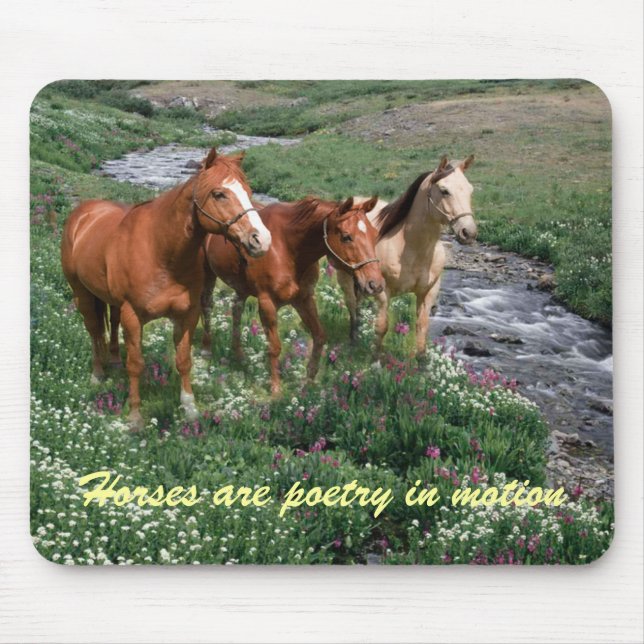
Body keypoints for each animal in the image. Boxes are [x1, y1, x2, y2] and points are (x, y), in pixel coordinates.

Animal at [60, 147, 272, 430]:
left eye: (248, 191)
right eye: (219, 194)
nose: (261, 240)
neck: (161, 251)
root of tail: (82, 214)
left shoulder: (187, 314)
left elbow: (184, 361)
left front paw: (190, 408)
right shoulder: (133, 316)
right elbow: (136, 364)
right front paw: (135, 416)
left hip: (111, 301)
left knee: (111, 325)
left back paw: (113, 362)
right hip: (81, 293)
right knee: (94, 330)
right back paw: (98, 373)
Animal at [200, 196, 385, 396]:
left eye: (374, 234)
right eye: (346, 236)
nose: (375, 284)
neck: (286, 247)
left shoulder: (304, 299)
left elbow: (319, 337)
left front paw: (309, 381)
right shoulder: (267, 304)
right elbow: (274, 347)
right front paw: (276, 389)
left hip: (241, 288)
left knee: (236, 310)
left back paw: (239, 355)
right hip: (208, 275)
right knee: (207, 306)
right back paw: (206, 350)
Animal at [336, 155, 477, 358]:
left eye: (470, 189)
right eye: (444, 191)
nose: (469, 232)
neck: (411, 248)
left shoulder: (429, 292)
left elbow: (422, 328)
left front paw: (421, 362)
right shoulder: (383, 291)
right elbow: (382, 326)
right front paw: (375, 360)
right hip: (345, 278)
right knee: (352, 307)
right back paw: (353, 340)